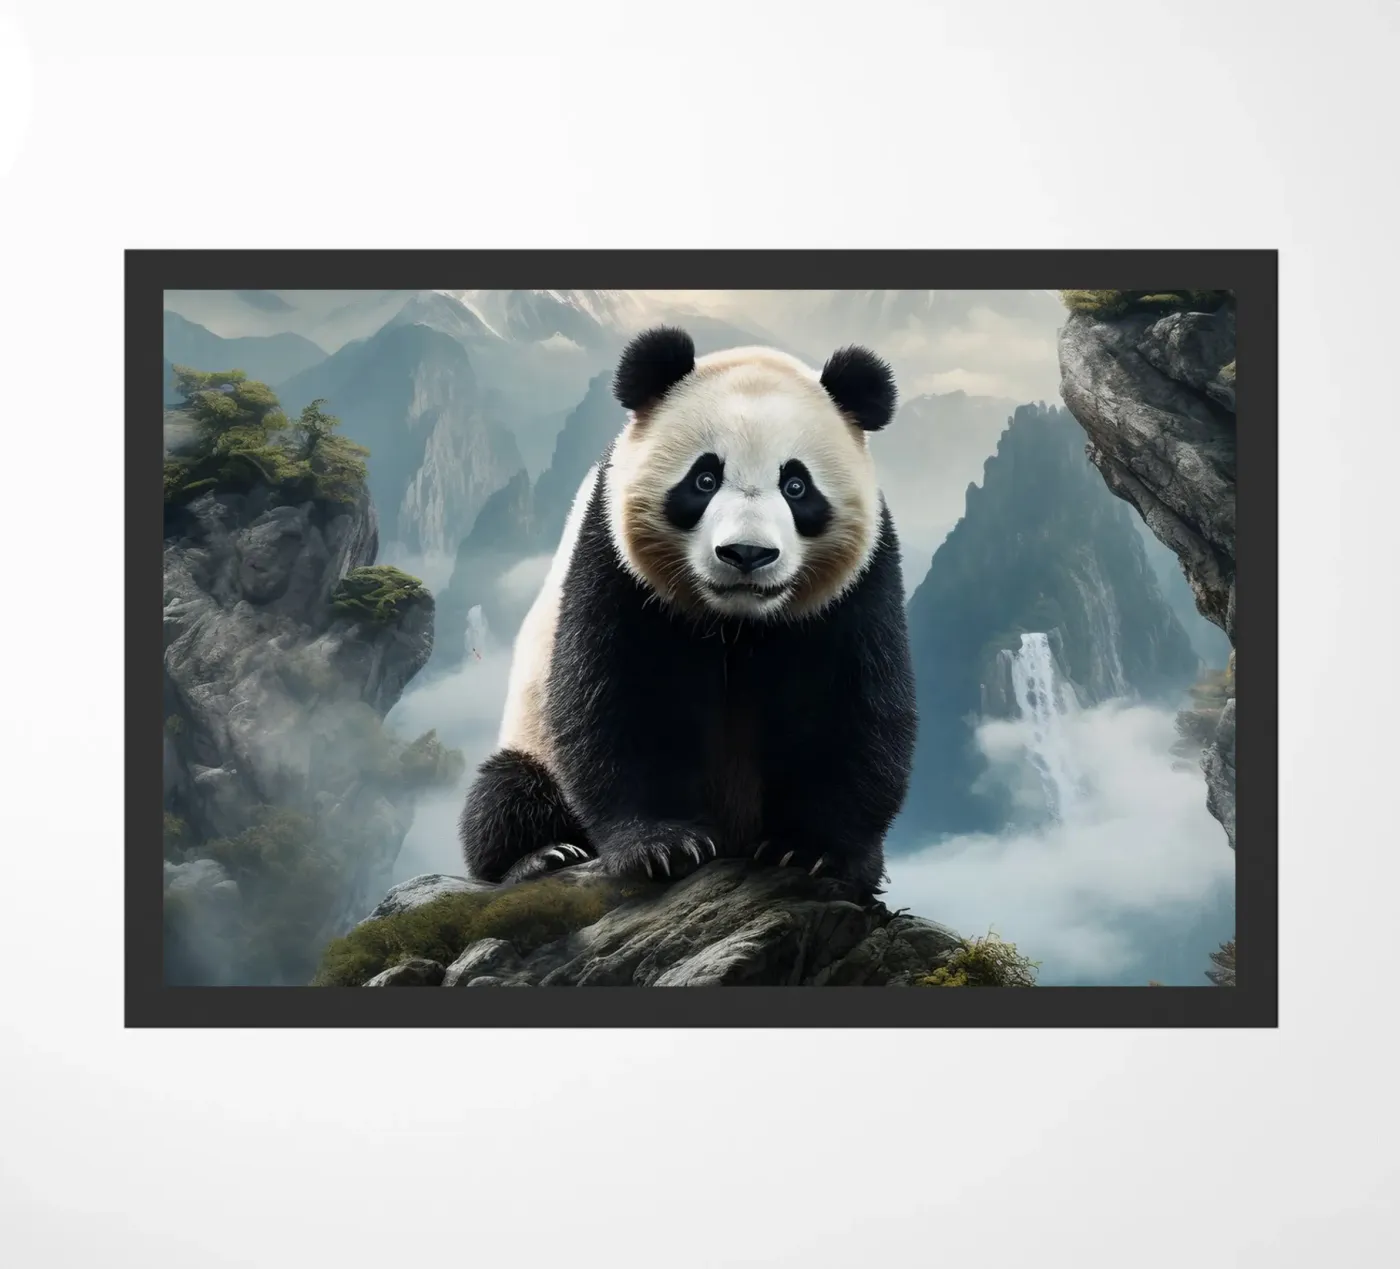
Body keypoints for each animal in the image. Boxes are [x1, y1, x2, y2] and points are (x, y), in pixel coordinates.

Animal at [458, 325, 917, 894]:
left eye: (796, 486)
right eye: (704, 480)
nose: (746, 553)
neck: (735, 623)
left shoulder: (859, 584)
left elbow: (851, 703)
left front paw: (811, 852)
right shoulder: (615, 560)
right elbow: (619, 693)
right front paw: (663, 846)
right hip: (532, 740)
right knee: (506, 793)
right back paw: (541, 855)